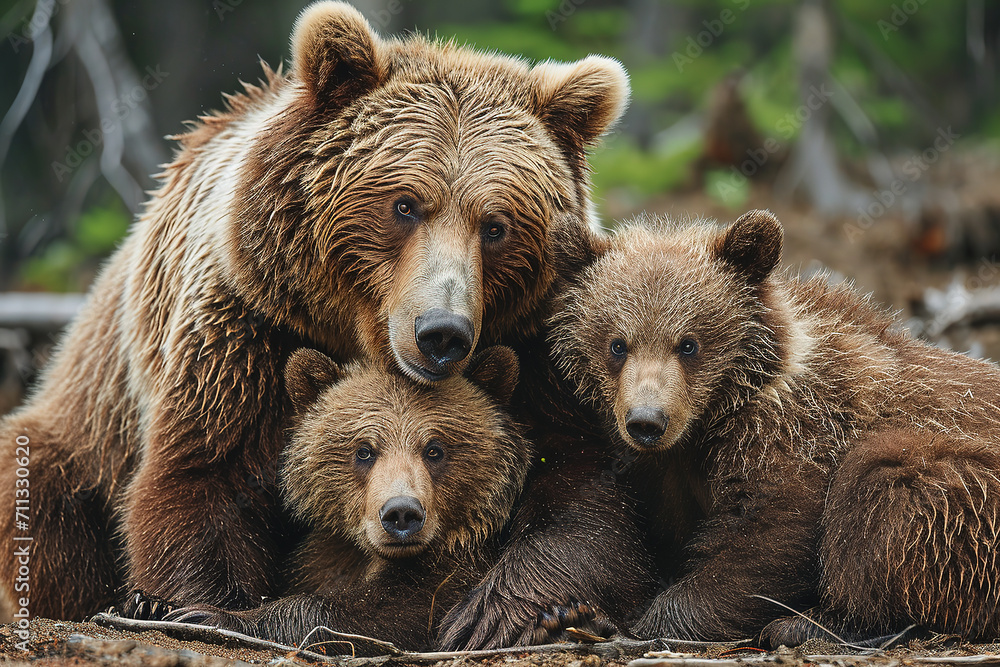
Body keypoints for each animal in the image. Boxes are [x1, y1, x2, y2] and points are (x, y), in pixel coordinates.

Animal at [0, 1, 630, 622]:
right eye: (405, 205)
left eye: (496, 226)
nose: (441, 333)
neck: (356, 331)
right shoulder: (247, 327)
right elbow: (205, 476)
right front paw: (191, 603)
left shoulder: (537, 339)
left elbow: (578, 479)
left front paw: (510, 611)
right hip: (87, 424)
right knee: (43, 496)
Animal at [544, 209, 1000, 645]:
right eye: (617, 344)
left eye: (688, 344)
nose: (647, 421)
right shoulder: (668, 468)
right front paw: (574, 613)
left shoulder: (797, 427)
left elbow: (767, 533)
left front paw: (638, 621)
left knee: (882, 485)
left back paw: (812, 625)